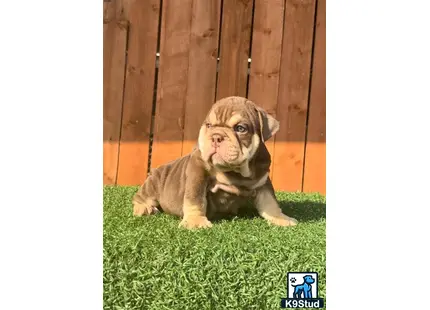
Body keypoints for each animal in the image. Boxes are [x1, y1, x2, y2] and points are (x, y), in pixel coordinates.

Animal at [133, 95, 298, 229]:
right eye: (209, 126)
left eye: (240, 128)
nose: (216, 136)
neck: (235, 172)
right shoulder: (198, 173)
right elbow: (195, 198)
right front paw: (195, 221)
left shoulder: (262, 180)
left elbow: (270, 201)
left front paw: (281, 218)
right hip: (152, 183)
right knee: (140, 197)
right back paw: (144, 208)